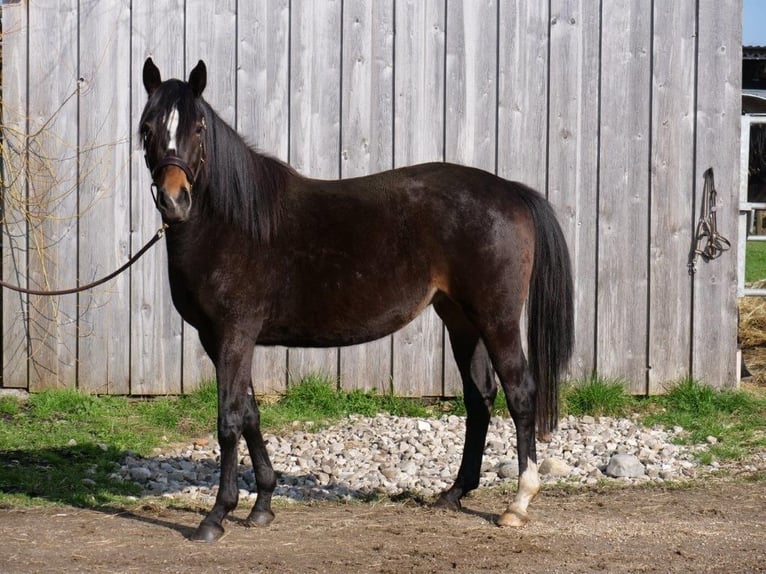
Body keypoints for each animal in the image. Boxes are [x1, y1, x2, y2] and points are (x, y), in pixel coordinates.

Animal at [141, 58, 576, 544]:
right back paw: (454, 493)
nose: (175, 201)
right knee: (479, 398)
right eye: (148, 128)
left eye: (198, 128)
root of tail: (511, 191)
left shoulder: (234, 334)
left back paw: (518, 503)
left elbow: (230, 420)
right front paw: (263, 504)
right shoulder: (221, 340)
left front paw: (217, 515)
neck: (234, 223)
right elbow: (251, 413)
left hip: (496, 319)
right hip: (461, 319)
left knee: (520, 393)